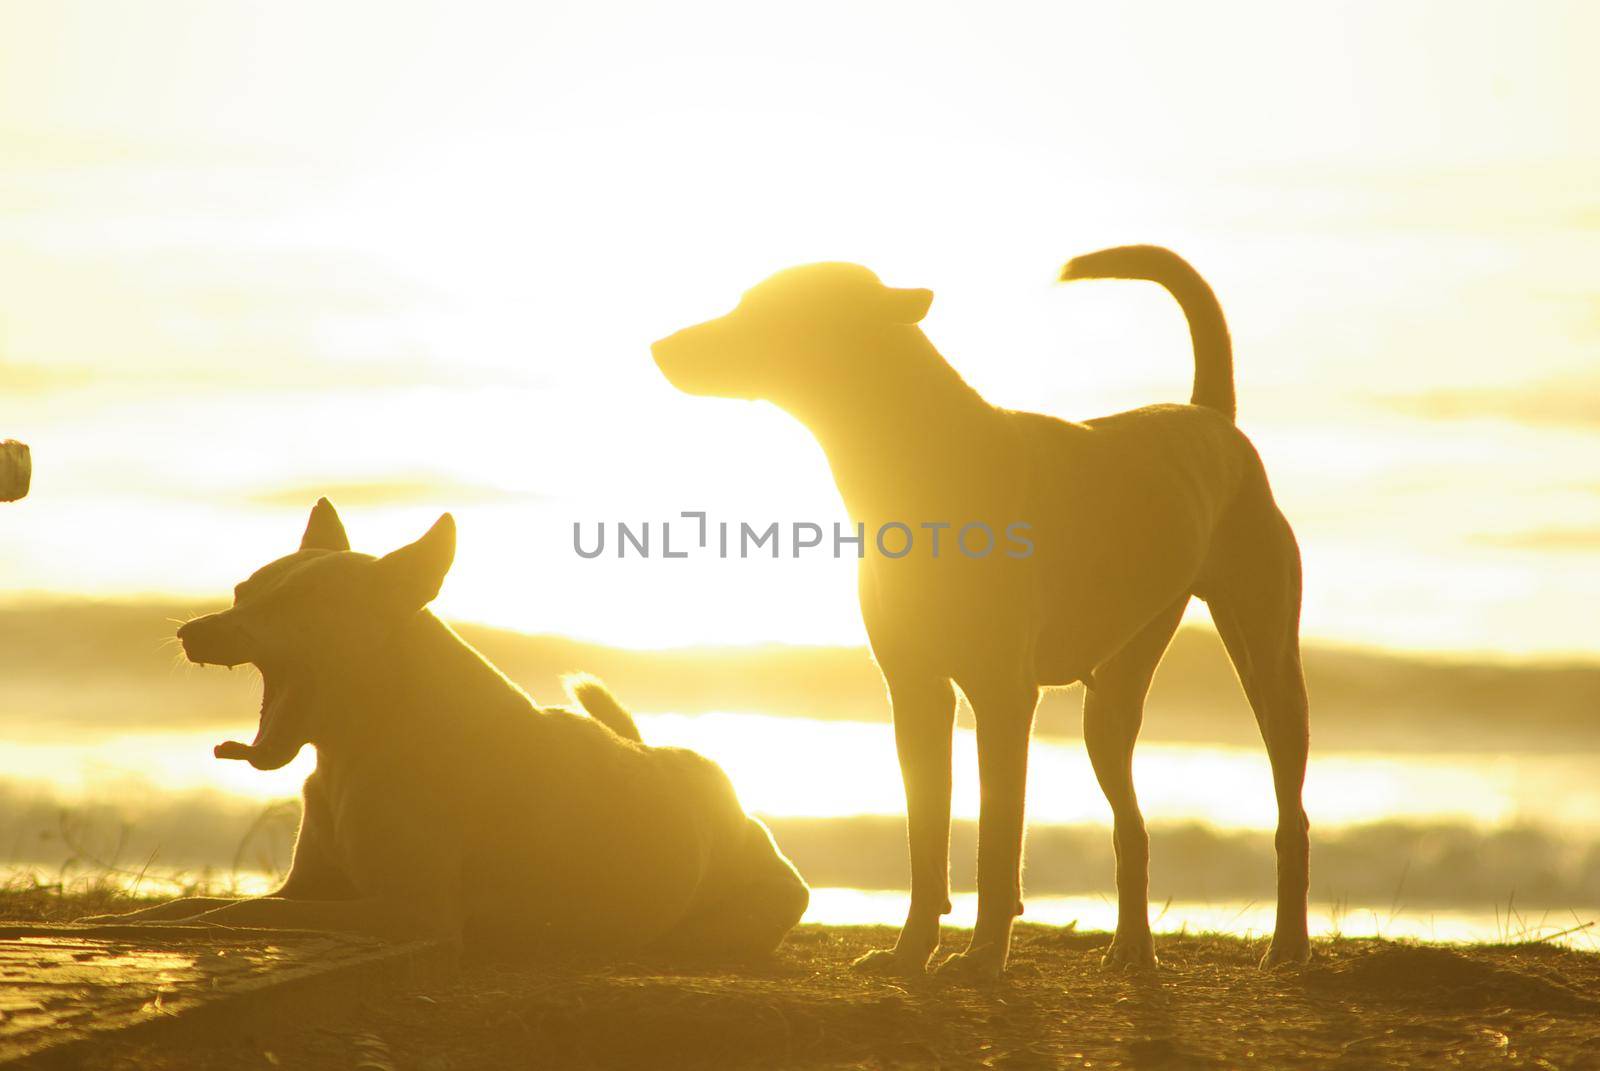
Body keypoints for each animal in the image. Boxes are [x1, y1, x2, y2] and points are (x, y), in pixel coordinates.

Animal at [81, 502, 806, 960]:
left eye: (297, 603)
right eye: (242, 592)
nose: (188, 631)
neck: (369, 738)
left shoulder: (405, 913)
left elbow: (240, 913)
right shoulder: (307, 887)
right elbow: (191, 908)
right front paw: (123, 918)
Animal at [652, 248, 1312, 979]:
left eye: (765, 311)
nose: (660, 346)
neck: (915, 459)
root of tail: (1211, 417)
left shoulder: (1003, 695)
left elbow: (996, 837)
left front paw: (983, 955)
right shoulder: (915, 691)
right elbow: (925, 831)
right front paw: (909, 949)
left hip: (1266, 651)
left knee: (1289, 798)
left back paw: (1287, 944)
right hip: (1120, 678)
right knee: (1129, 817)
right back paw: (1132, 948)